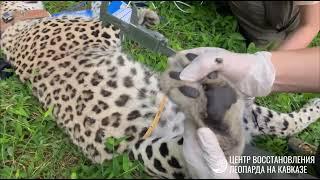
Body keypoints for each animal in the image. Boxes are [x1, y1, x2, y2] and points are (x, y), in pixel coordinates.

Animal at [1, 1, 320, 179]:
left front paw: (148, 17)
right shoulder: (101, 30)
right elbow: (110, 19)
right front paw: (142, 15)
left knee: (282, 124)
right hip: (153, 150)